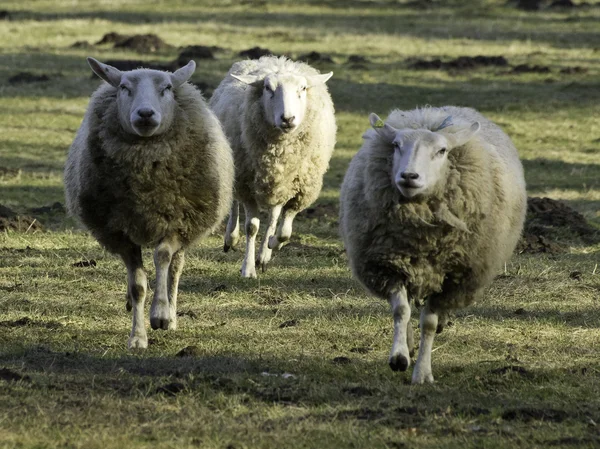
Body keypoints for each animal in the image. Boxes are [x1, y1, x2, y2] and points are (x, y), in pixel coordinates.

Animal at [64, 57, 234, 348]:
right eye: (124, 87)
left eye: (166, 88)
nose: (145, 114)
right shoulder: (120, 232)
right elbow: (138, 286)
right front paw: (137, 337)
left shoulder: (178, 222)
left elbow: (163, 258)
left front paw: (161, 314)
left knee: (175, 269)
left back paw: (171, 315)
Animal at [209, 55, 336, 276]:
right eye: (268, 88)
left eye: (303, 88)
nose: (288, 119)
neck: (280, 152)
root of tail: (274, 59)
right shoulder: (247, 185)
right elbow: (251, 227)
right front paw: (248, 268)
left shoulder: (299, 189)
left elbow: (284, 231)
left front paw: (272, 244)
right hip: (234, 166)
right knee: (234, 203)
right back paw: (230, 238)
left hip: (276, 185)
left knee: (274, 216)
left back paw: (264, 255)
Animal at [340, 105, 528, 382]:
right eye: (396, 145)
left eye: (442, 151)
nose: (409, 176)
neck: (421, 238)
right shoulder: (391, 266)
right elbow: (401, 311)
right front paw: (399, 357)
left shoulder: (452, 277)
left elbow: (428, 323)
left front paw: (422, 372)